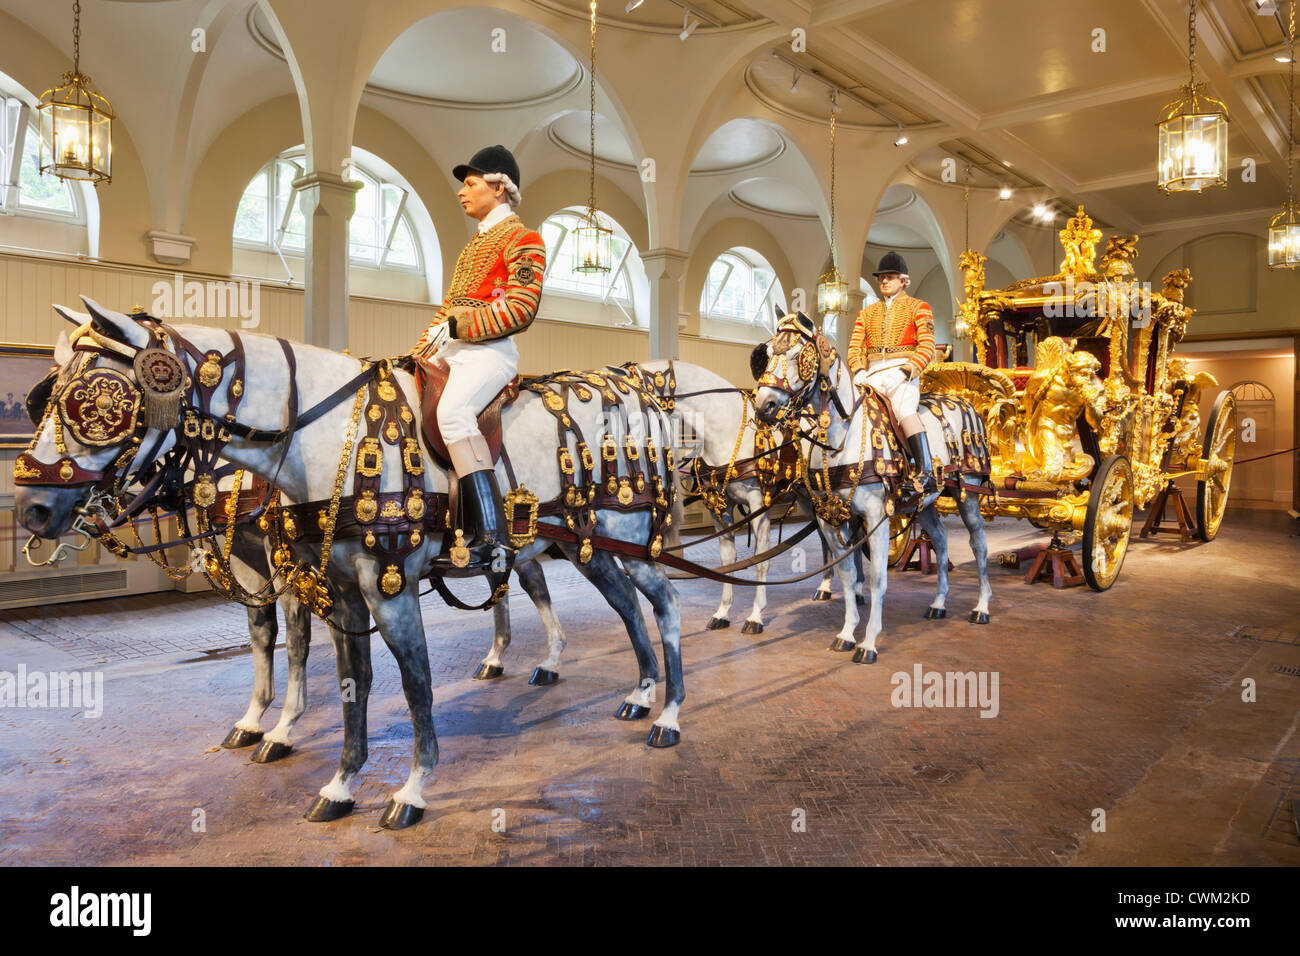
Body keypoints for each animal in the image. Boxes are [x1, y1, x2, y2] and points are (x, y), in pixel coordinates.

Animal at [17, 299, 691, 832]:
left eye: (97, 399)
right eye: (44, 395)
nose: (30, 507)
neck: (314, 438)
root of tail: (629, 391)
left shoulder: (377, 587)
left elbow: (406, 679)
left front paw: (409, 786)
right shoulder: (330, 586)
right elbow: (346, 679)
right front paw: (335, 780)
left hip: (623, 535)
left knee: (664, 603)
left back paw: (669, 713)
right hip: (586, 546)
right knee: (621, 606)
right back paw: (635, 690)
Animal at [748, 314, 987, 665]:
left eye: (797, 356)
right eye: (765, 354)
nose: (763, 405)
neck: (841, 436)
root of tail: (966, 405)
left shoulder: (877, 516)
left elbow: (877, 578)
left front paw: (869, 642)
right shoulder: (830, 517)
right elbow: (847, 572)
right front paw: (848, 633)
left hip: (968, 493)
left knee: (978, 545)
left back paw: (982, 607)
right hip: (923, 503)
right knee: (942, 542)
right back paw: (939, 604)